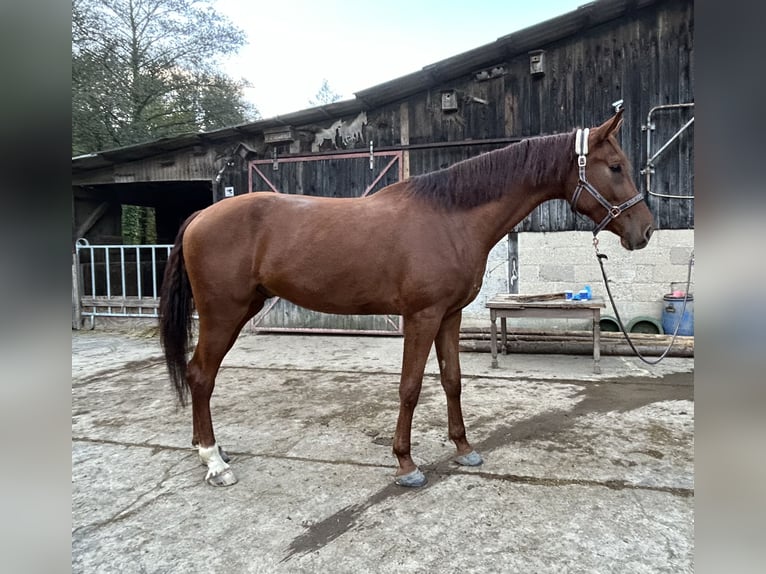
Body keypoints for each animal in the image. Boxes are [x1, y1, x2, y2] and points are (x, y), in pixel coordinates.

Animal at [160, 110, 656, 488]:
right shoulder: (422, 317)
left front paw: (464, 448)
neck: (450, 217)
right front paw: (406, 464)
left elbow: (453, 380)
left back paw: (210, 450)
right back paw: (214, 462)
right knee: (200, 375)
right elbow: (411, 387)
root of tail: (202, 214)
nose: (646, 230)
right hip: (223, 314)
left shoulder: (450, 316)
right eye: (615, 166)